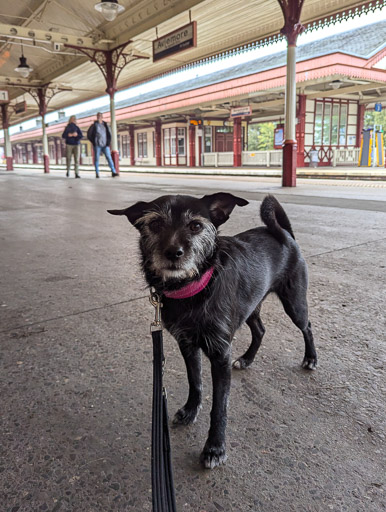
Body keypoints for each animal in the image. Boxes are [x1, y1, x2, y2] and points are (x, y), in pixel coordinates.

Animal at [108, 192, 316, 468]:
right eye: (155, 224)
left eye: (196, 225)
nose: (173, 252)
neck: (193, 290)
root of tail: (284, 233)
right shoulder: (187, 344)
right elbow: (194, 380)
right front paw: (190, 410)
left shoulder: (220, 355)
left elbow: (219, 406)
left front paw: (215, 447)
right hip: (250, 307)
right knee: (260, 330)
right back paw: (247, 359)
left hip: (294, 303)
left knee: (307, 327)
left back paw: (310, 358)